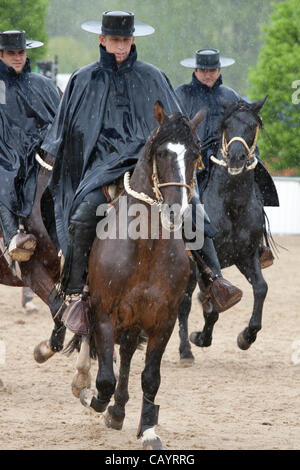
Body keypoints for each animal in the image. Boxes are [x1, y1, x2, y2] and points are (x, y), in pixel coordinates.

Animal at [67, 102, 204, 448]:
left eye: (195, 154)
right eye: (161, 152)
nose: (177, 211)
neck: (146, 248)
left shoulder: (163, 319)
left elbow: (150, 377)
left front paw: (149, 429)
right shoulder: (104, 313)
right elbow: (104, 378)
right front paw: (92, 398)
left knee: (128, 354)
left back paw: (118, 410)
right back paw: (86, 386)